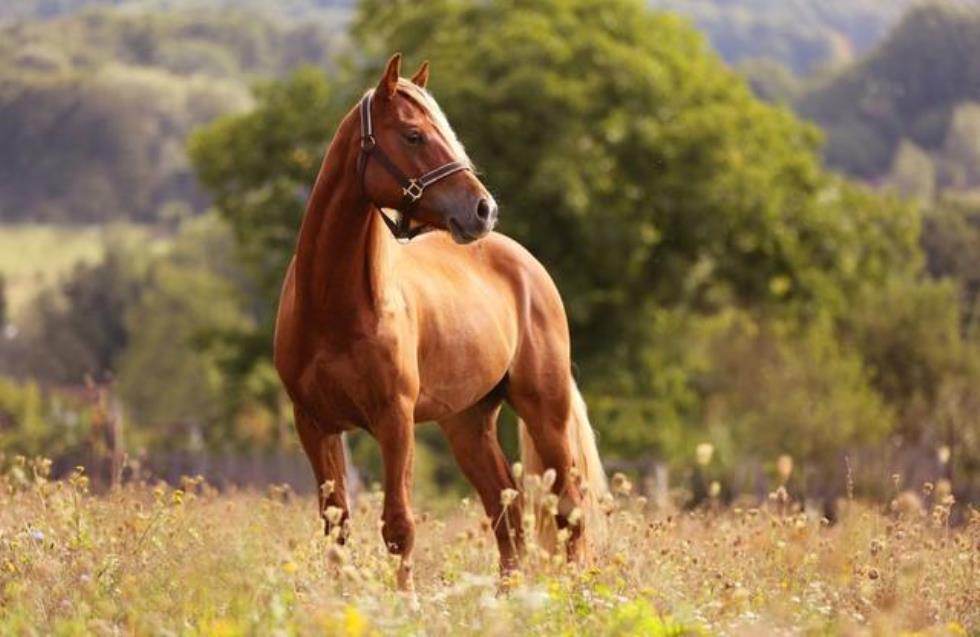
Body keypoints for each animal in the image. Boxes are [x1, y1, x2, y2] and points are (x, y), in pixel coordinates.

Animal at [270, 54, 604, 592]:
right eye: (413, 135)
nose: (483, 209)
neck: (333, 307)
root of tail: (526, 264)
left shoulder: (394, 419)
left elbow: (398, 526)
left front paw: (404, 602)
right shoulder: (314, 424)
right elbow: (336, 526)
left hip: (544, 410)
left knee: (568, 510)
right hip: (467, 423)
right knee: (506, 513)